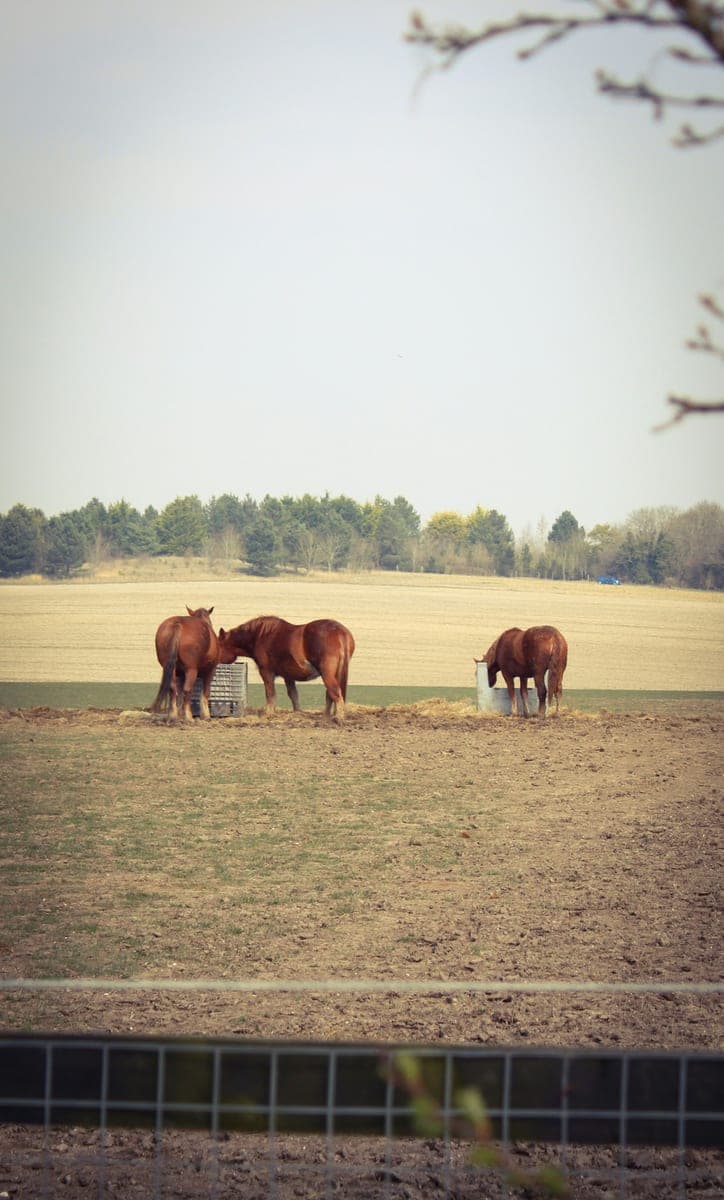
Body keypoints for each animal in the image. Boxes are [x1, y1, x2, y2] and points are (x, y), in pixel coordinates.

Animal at [218, 616, 355, 721]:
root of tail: (340, 632)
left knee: (335, 693)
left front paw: (269, 713)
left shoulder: (266, 672)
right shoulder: (288, 676)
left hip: (327, 674)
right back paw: (326, 716)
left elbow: (270, 693)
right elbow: (293, 694)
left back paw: (338, 718)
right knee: (330, 695)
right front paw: (297, 713)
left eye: (218, 645)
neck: (260, 635)